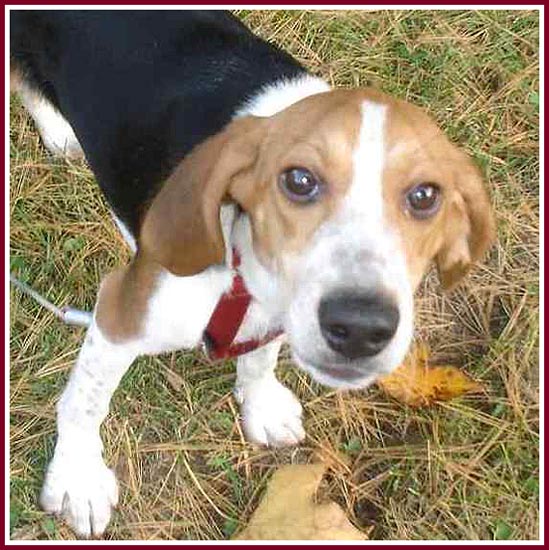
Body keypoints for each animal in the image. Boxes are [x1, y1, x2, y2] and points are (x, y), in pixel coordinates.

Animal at [10, 10, 494, 540]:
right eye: (299, 180)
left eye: (426, 195)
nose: (361, 327)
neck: (246, 269)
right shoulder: (122, 311)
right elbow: (86, 401)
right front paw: (77, 478)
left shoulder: (278, 313)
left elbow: (261, 358)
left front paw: (261, 405)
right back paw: (57, 127)